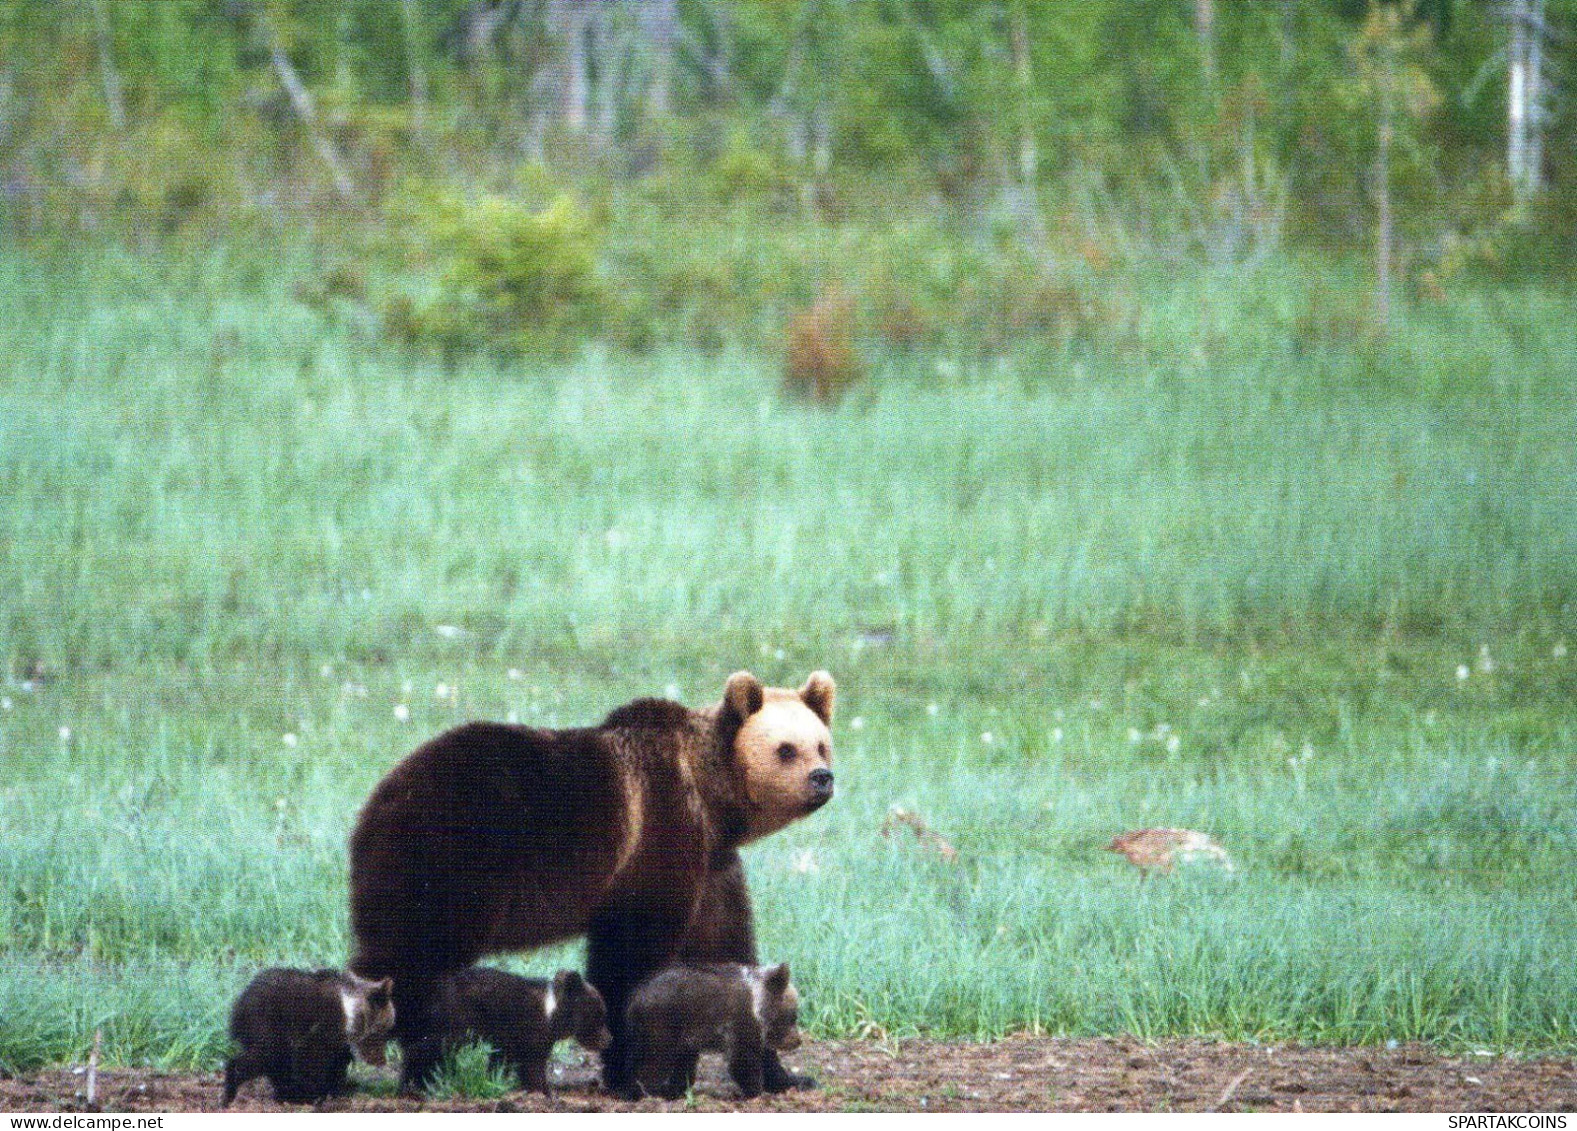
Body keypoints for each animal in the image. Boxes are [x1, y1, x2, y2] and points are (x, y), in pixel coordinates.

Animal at [346, 671, 838, 1091]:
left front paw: (786, 1072)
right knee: (415, 959)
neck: (711, 800)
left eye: (821, 745)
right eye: (786, 749)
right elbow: (631, 953)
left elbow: (727, 945)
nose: (822, 778)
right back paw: (417, 1063)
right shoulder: (658, 834)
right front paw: (631, 1070)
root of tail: (382, 798)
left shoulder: (713, 866)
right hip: (454, 862)